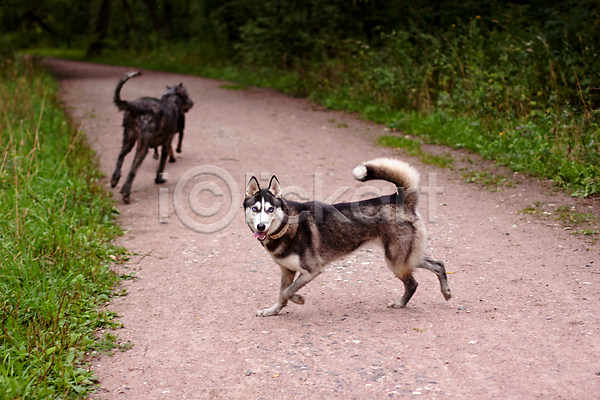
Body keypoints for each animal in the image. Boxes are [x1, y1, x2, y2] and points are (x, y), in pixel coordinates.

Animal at [110, 71, 194, 203]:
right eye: (187, 94)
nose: (192, 103)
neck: (171, 99)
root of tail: (135, 105)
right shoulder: (167, 143)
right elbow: (161, 165)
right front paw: (159, 180)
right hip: (143, 147)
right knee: (132, 171)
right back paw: (126, 193)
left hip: (128, 141)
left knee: (120, 157)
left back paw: (115, 179)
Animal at [244, 158, 452, 316]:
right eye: (255, 209)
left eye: (270, 209)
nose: (261, 226)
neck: (286, 226)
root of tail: (398, 198)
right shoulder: (287, 271)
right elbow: (282, 293)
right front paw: (273, 310)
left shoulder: (312, 270)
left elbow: (288, 292)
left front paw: (299, 299)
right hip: (406, 258)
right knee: (438, 264)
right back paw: (446, 292)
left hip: (397, 261)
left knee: (413, 283)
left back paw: (401, 303)